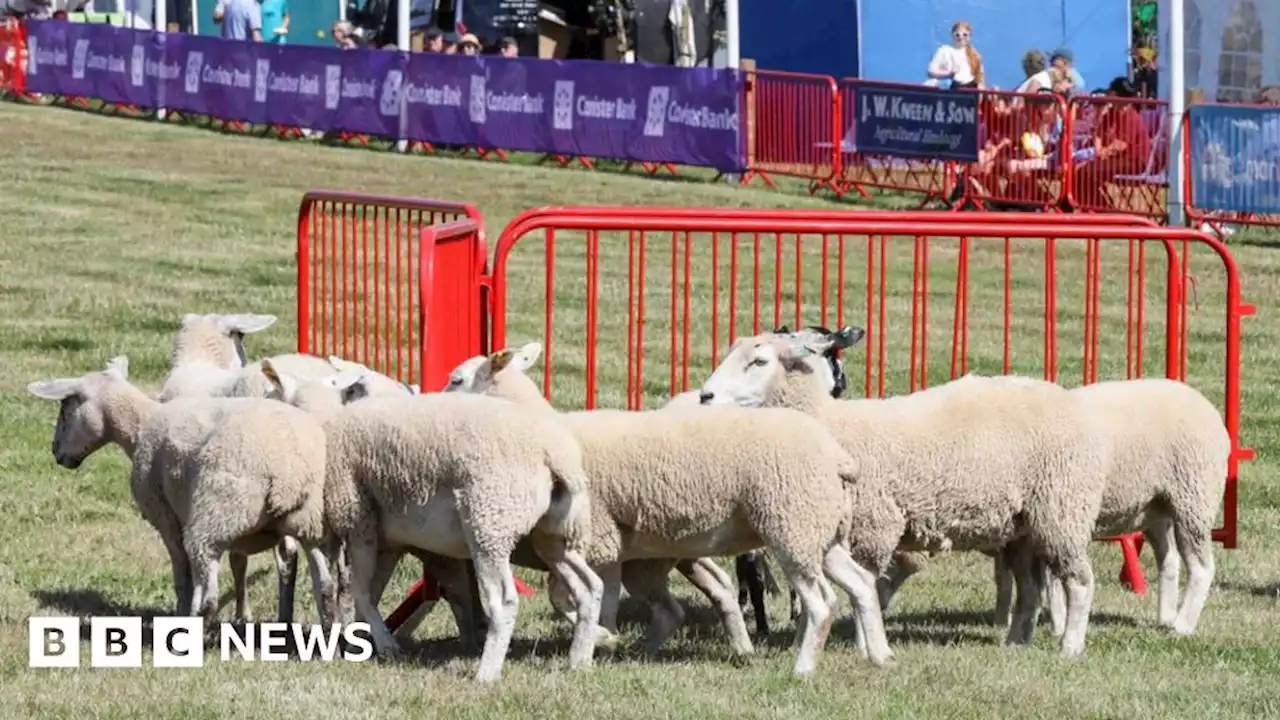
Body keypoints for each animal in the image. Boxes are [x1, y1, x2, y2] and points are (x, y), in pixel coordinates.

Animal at [30, 356, 348, 625]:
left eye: (65, 411)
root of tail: (287, 473)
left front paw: (182, 612)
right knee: (325, 585)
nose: (56, 452)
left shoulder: (167, 518)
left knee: (211, 595)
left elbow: (183, 578)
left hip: (215, 516)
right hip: (309, 524)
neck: (141, 426)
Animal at [317, 386, 601, 676]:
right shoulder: (387, 540)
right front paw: (363, 644)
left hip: (489, 522)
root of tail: (555, 456)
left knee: (504, 601)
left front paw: (382, 645)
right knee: (590, 586)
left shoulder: (357, 520)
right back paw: (579, 660)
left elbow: (359, 592)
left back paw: (487, 672)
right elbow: (371, 592)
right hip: (556, 535)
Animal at [440, 338, 890, 671]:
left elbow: (579, 598)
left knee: (821, 602)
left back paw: (803, 667)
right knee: (860, 584)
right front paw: (606, 643)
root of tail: (836, 456)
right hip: (820, 530)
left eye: (456, 380)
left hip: (792, 524)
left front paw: (600, 641)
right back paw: (880, 655)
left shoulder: (598, 540)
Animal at [696, 325, 1116, 655]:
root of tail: (1066, 397)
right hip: (1022, 527)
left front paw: (864, 645)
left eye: (759, 362)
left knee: (1080, 581)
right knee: (1030, 589)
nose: (704, 396)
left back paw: (1070, 647)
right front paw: (806, 639)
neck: (831, 423)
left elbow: (864, 587)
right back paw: (1015, 644)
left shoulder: (874, 526)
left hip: (1061, 509)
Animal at [875, 371, 1223, 635]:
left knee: (1201, 566)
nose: (878, 606)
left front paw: (1055, 624)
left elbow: (1046, 583)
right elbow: (1007, 580)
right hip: (1155, 509)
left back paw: (1182, 625)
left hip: (1192, 497)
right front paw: (1004, 621)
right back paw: (1165, 617)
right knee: (1170, 561)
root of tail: (1200, 400)